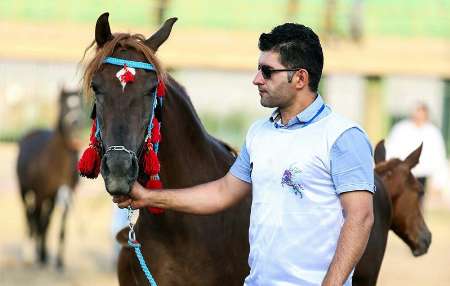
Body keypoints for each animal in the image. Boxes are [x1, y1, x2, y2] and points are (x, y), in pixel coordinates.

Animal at [16, 86, 83, 268]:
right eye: (64, 106)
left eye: (80, 105)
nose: (76, 125)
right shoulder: (39, 194)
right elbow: (39, 222)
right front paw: (38, 256)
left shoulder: (66, 196)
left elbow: (59, 228)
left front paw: (58, 262)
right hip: (25, 191)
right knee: (29, 216)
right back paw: (30, 252)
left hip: (50, 197)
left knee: (44, 221)